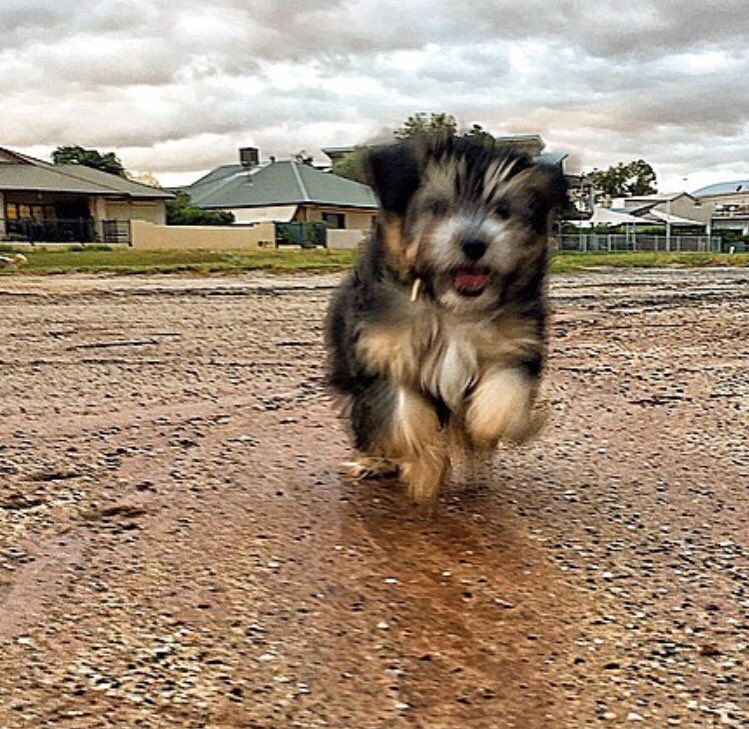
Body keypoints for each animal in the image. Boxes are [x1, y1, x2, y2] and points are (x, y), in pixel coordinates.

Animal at [324, 135, 564, 500]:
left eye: (503, 211)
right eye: (438, 208)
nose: (475, 243)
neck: (452, 308)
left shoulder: (516, 343)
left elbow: (504, 391)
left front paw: (495, 424)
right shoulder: (381, 351)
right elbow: (402, 413)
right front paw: (424, 466)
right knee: (367, 422)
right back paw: (375, 461)